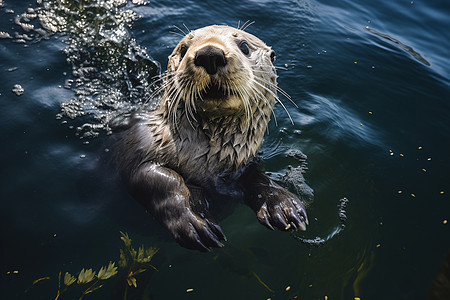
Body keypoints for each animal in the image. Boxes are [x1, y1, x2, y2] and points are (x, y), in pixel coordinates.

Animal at [114, 25, 308, 251]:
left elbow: (256, 177)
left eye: (244, 46)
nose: (209, 54)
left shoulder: (238, 166)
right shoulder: (137, 144)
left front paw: (283, 204)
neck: (203, 161)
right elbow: (161, 180)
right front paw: (195, 218)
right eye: (183, 49)